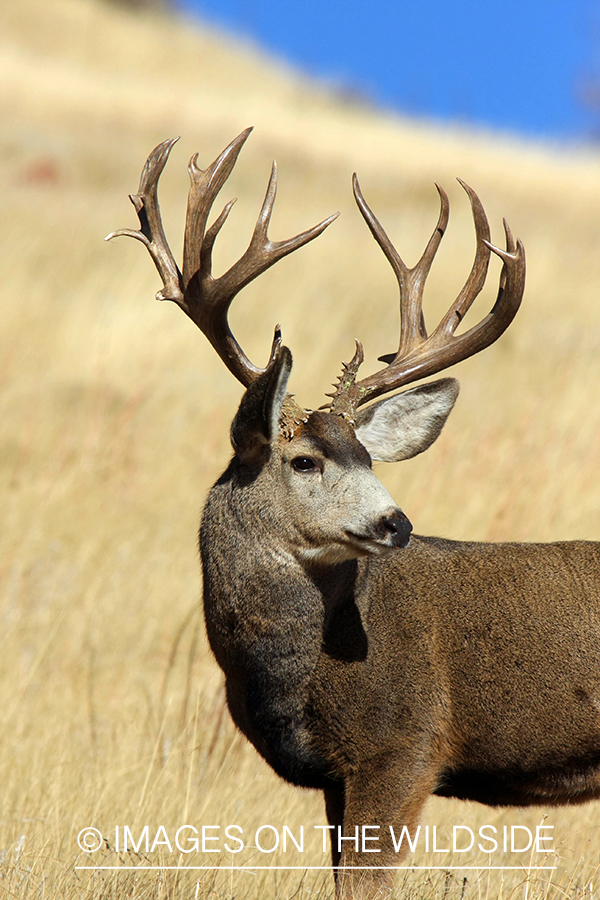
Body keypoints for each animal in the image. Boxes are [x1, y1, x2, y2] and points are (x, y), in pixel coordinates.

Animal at [107, 127, 600, 900]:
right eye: (305, 460)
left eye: (371, 458)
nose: (396, 523)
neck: (286, 669)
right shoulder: (340, 777)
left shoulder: (403, 746)